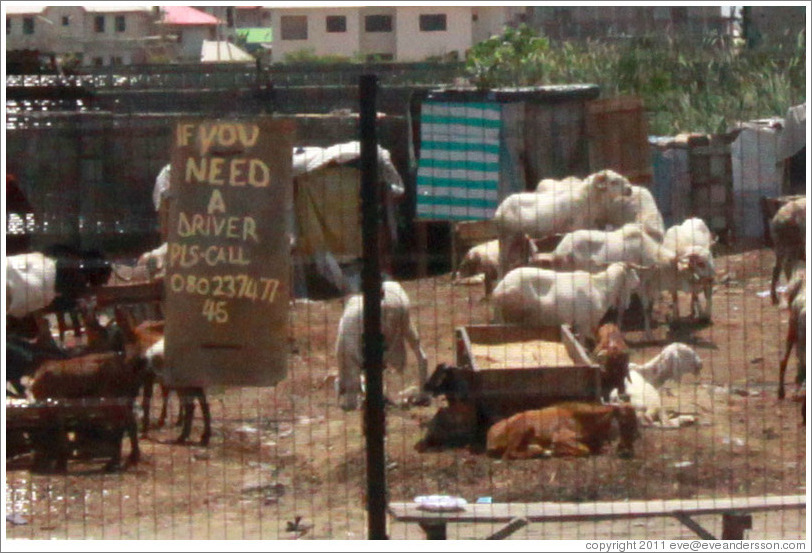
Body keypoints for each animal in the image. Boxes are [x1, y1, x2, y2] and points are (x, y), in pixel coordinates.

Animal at [334, 280, 428, 410]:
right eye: (343, 390)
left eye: (356, 388)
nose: (350, 407)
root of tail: (392, 283)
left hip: (402, 326)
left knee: (420, 356)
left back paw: (421, 395)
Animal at [486, 402, 636, 462]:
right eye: (624, 420)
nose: (629, 446)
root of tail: (490, 435)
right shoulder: (560, 437)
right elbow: (585, 450)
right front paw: (559, 452)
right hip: (522, 429)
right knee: (508, 455)